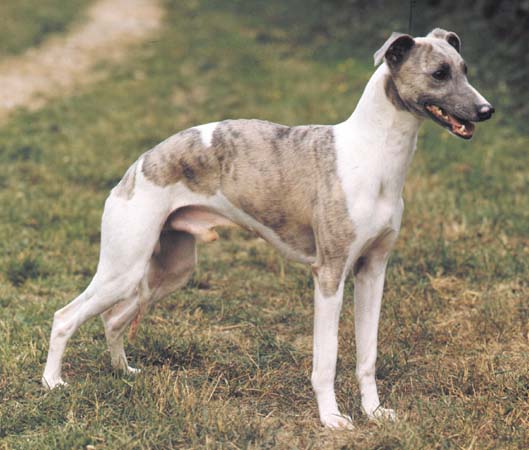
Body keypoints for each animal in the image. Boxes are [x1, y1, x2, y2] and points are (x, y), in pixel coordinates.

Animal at [43, 28, 492, 428]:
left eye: (465, 68)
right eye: (438, 73)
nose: (487, 111)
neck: (373, 155)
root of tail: (138, 165)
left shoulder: (373, 271)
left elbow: (368, 355)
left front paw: (374, 412)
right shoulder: (329, 275)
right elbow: (326, 359)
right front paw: (331, 418)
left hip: (169, 270)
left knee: (113, 320)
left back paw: (123, 373)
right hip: (124, 268)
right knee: (66, 316)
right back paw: (52, 383)